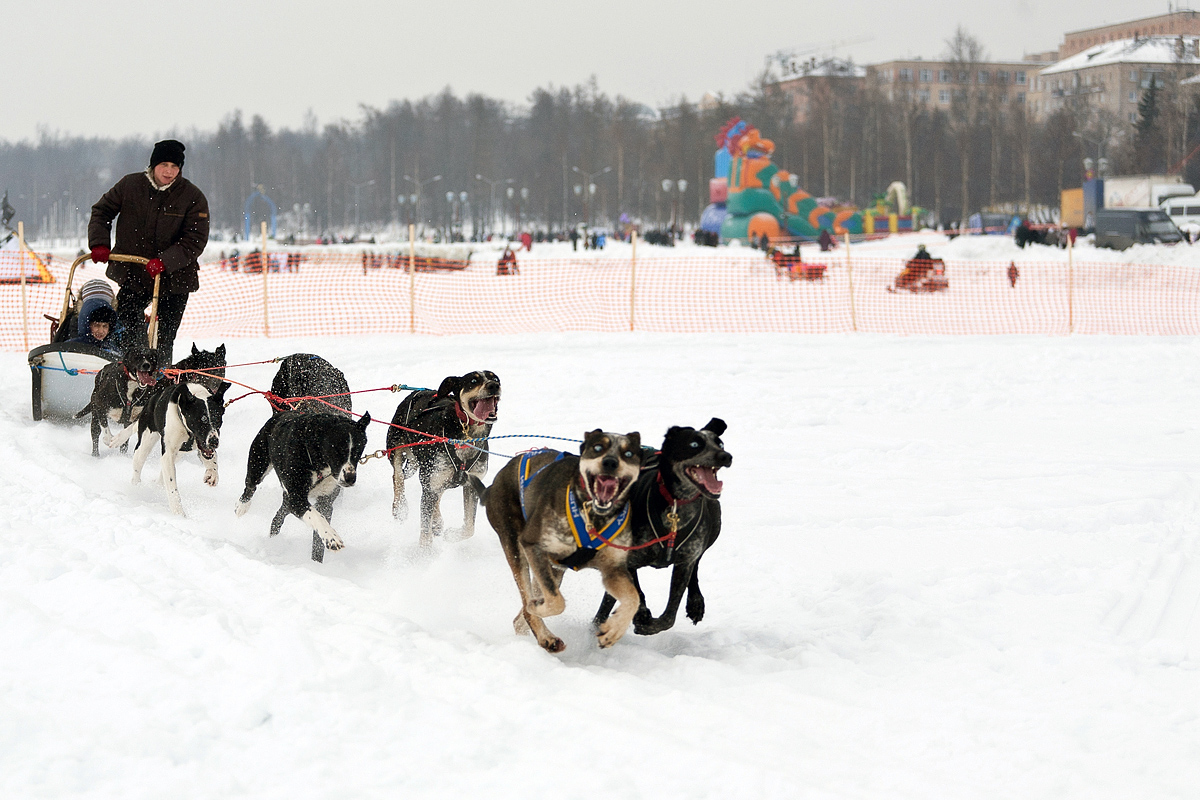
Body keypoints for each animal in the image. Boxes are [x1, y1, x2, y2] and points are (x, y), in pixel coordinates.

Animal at [124, 379, 231, 515]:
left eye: (218, 420)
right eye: (200, 420)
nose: (214, 442)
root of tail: (152, 399)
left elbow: (212, 460)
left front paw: (212, 474)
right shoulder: (168, 452)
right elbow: (172, 486)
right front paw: (178, 513)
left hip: (180, 452)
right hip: (145, 443)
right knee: (138, 465)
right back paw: (137, 487)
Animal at [231, 412, 367, 563]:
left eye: (358, 451)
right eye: (337, 449)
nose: (350, 478)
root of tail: (279, 414)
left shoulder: (324, 501)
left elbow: (319, 530)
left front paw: (317, 561)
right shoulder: (296, 499)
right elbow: (318, 517)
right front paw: (332, 537)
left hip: (287, 500)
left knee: (278, 517)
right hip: (258, 464)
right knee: (250, 486)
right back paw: (242, 506)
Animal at [388, 371, 501, 546]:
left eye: (495, 378)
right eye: (473, 381)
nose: (494, 385)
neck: (467, 436)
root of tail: (415, 393)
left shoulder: (471, 485)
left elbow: (469, 528)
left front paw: (452, 535)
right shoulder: (431, 483)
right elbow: (425, 533)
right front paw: (424, 552)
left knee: (437, 495)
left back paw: (437, 521)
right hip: (397, 449)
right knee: (398, 475)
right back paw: (400, 508)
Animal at [475, 431, 648, 652]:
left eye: (628, 453)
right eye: (597, 448)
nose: (610, 462)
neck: (592, 516)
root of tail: (494, 484)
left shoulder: (613, 570)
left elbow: (633, 599)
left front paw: (614, 629)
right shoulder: (533, 545)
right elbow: (555, 602)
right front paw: (537, 608)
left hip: (553, 569)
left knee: (523, 613)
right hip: (516, 548)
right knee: (528, 601)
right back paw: (545, 636)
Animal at [592, 419, 729, 638]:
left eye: (720, 444)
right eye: (694, 444)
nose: (725, 456)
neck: (676, 505)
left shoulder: (684, 564)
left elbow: (669, 616)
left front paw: (649, 624)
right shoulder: (628, 559)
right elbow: (637, 593)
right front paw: (641, 614)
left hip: (712, 532)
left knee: (696, 566)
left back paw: (695, 603)